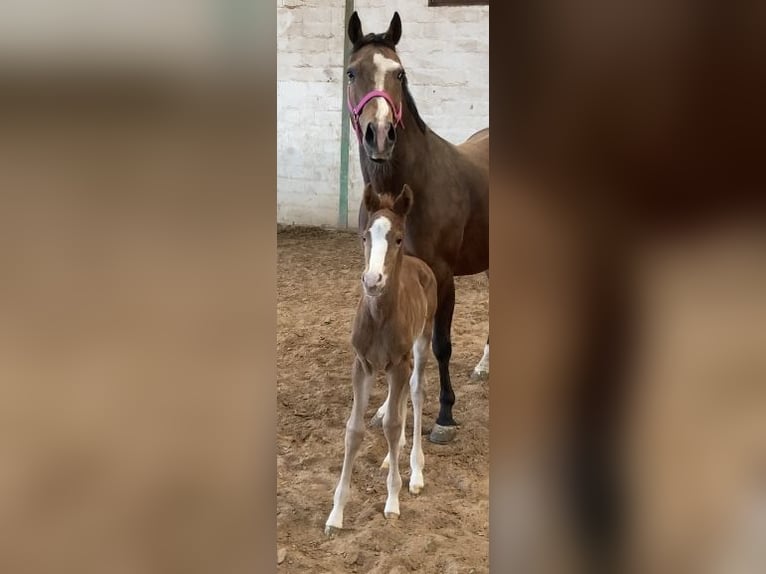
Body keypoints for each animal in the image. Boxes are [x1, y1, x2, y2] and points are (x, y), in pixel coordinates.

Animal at [325, 184, 437, 536]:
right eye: (365, 236)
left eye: (398, 238)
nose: (372, 281)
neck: (378, 318)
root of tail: (421, 265)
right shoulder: (363, 365)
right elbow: (354, 430)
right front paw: (336, 514)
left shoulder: (399, 362)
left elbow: (391, 423)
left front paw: (393, 500)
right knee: (399, 400)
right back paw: (394, 456)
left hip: (421, 341)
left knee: (415, 391)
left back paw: (415, 470)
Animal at [345, 11, 489, 444]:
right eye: (351, 72)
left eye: (400, 73)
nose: (380, 134)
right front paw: (381, 409)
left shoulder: (442, 277)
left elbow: (441, 345)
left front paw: (444, 415)